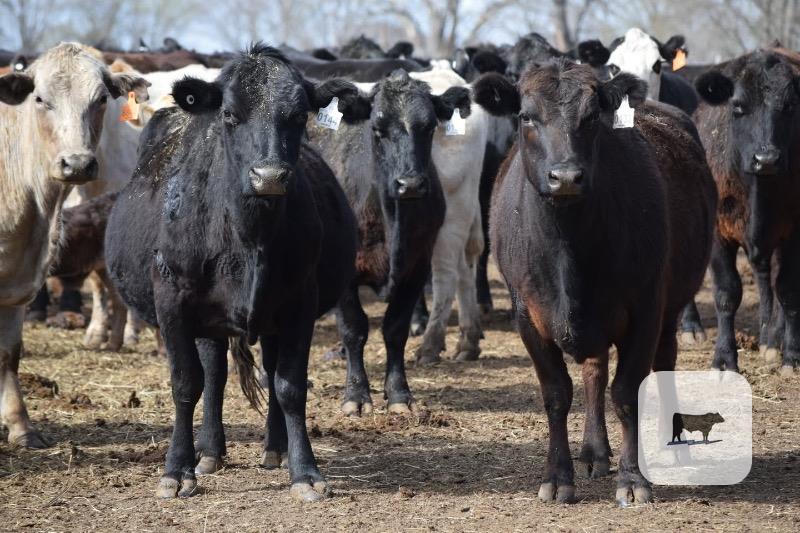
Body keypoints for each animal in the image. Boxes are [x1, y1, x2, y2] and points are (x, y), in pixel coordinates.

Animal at [0, 43, 149, 448]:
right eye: (39, 98)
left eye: (101, 99)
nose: (77, 164)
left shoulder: (19, 282)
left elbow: (9, 354)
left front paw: (21, 426)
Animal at [105, 43, 362, 501]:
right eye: (229, 114)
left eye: (299, 115)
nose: (269, 176)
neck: (248, 234)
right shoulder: (172, 301)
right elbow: (186, 383)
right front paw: (176, 470)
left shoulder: (301, 302)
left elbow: (290, 385)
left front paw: (305, 471)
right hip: (206, 318)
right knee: (213, 374)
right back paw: (208, 452)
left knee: (265, 370)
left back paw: (274, 448)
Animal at [474, 60, 716, 505]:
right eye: (526, 116)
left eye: (590, 118)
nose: (566, 177)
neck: (568, 250)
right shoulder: (527, 316)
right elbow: (557, 394)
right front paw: (558, 477)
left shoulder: (645, 309)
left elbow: (627, 393)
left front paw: (633, 480)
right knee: (594, 372)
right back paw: (593, 452)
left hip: (670, 309)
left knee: (663, 363)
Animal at [693, 47, 800, 374]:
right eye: (738, 107)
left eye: (789, 106)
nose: (766, 159)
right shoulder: (717, 232)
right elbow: (727, 294)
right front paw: (724, 359)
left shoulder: (794, 232)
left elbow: (788, 290)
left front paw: (791, 356)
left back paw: (773, 340)